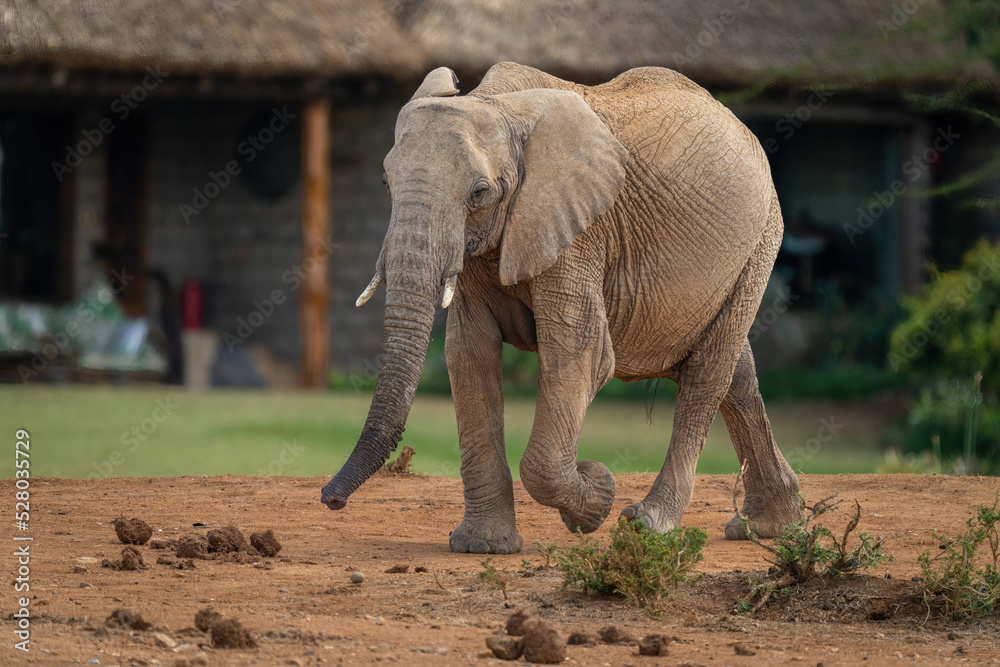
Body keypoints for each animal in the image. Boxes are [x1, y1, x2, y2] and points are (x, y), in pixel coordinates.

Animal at [322, 62, 803, 554]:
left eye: (479, 193)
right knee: (736, 372)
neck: (498, 105)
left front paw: (595, 495)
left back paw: (650, 524)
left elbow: (581, 352)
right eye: (386, 183)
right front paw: (482, 546)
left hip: (761, 237)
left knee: (708, 372)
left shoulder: (579, 232)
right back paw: (769, 526)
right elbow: (468, 351)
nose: (331, 500)